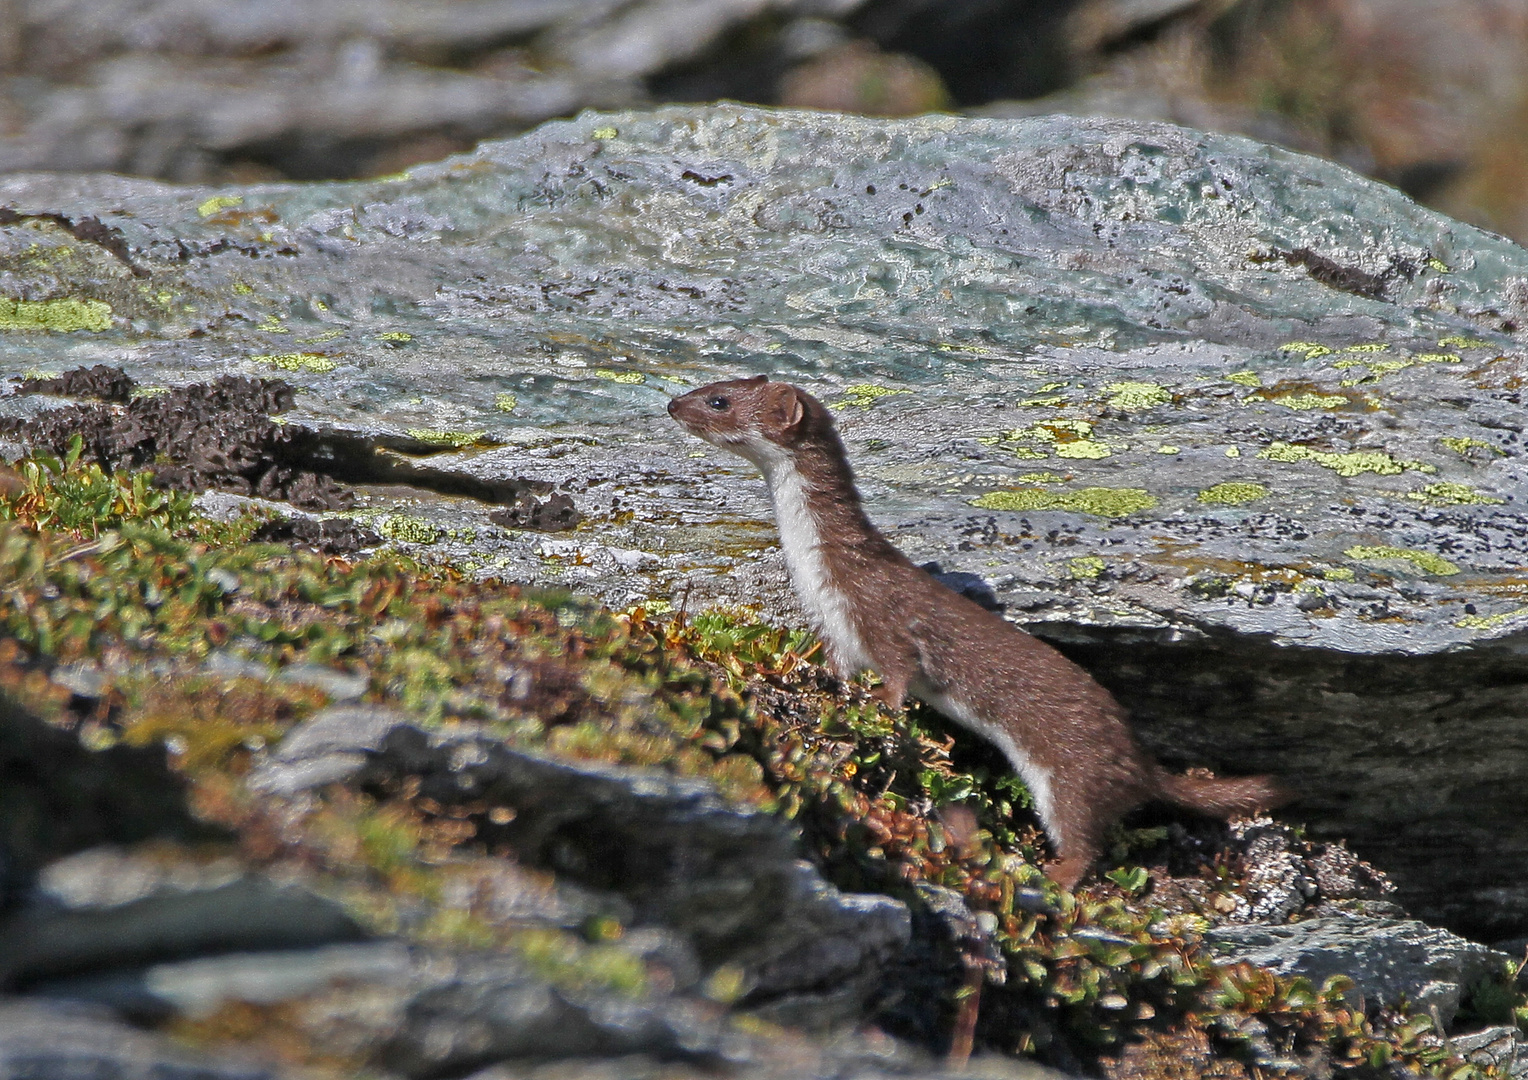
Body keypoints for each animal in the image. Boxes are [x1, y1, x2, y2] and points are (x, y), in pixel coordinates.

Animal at [669, 375, 1289, 892]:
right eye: (715, 384)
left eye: (719, 400)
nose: (672, 404)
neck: (818, 572)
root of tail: (1140, 760)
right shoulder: (836, 630)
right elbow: (839, 671)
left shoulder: (881, 615)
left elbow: (899, 670)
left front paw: (881, 703)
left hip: (1070, 776)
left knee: (1084, 838)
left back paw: (1054, 874)